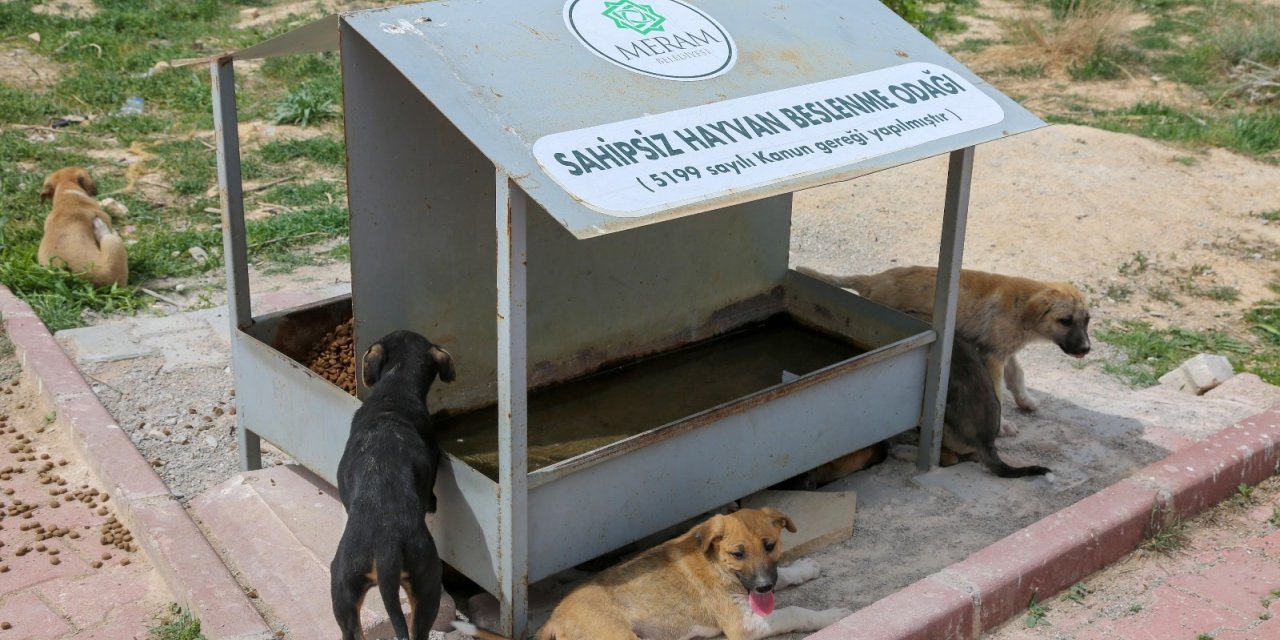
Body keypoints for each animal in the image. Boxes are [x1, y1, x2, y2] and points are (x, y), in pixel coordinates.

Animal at [453, 509, 849, 640]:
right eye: (738, 553)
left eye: (770, 545)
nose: (765, 586)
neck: (717, 564)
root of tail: (554, 618)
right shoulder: (746, 625)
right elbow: (795, 611)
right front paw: (831, 616)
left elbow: (787, 579)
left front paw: (803, 568)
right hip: (618, 637)